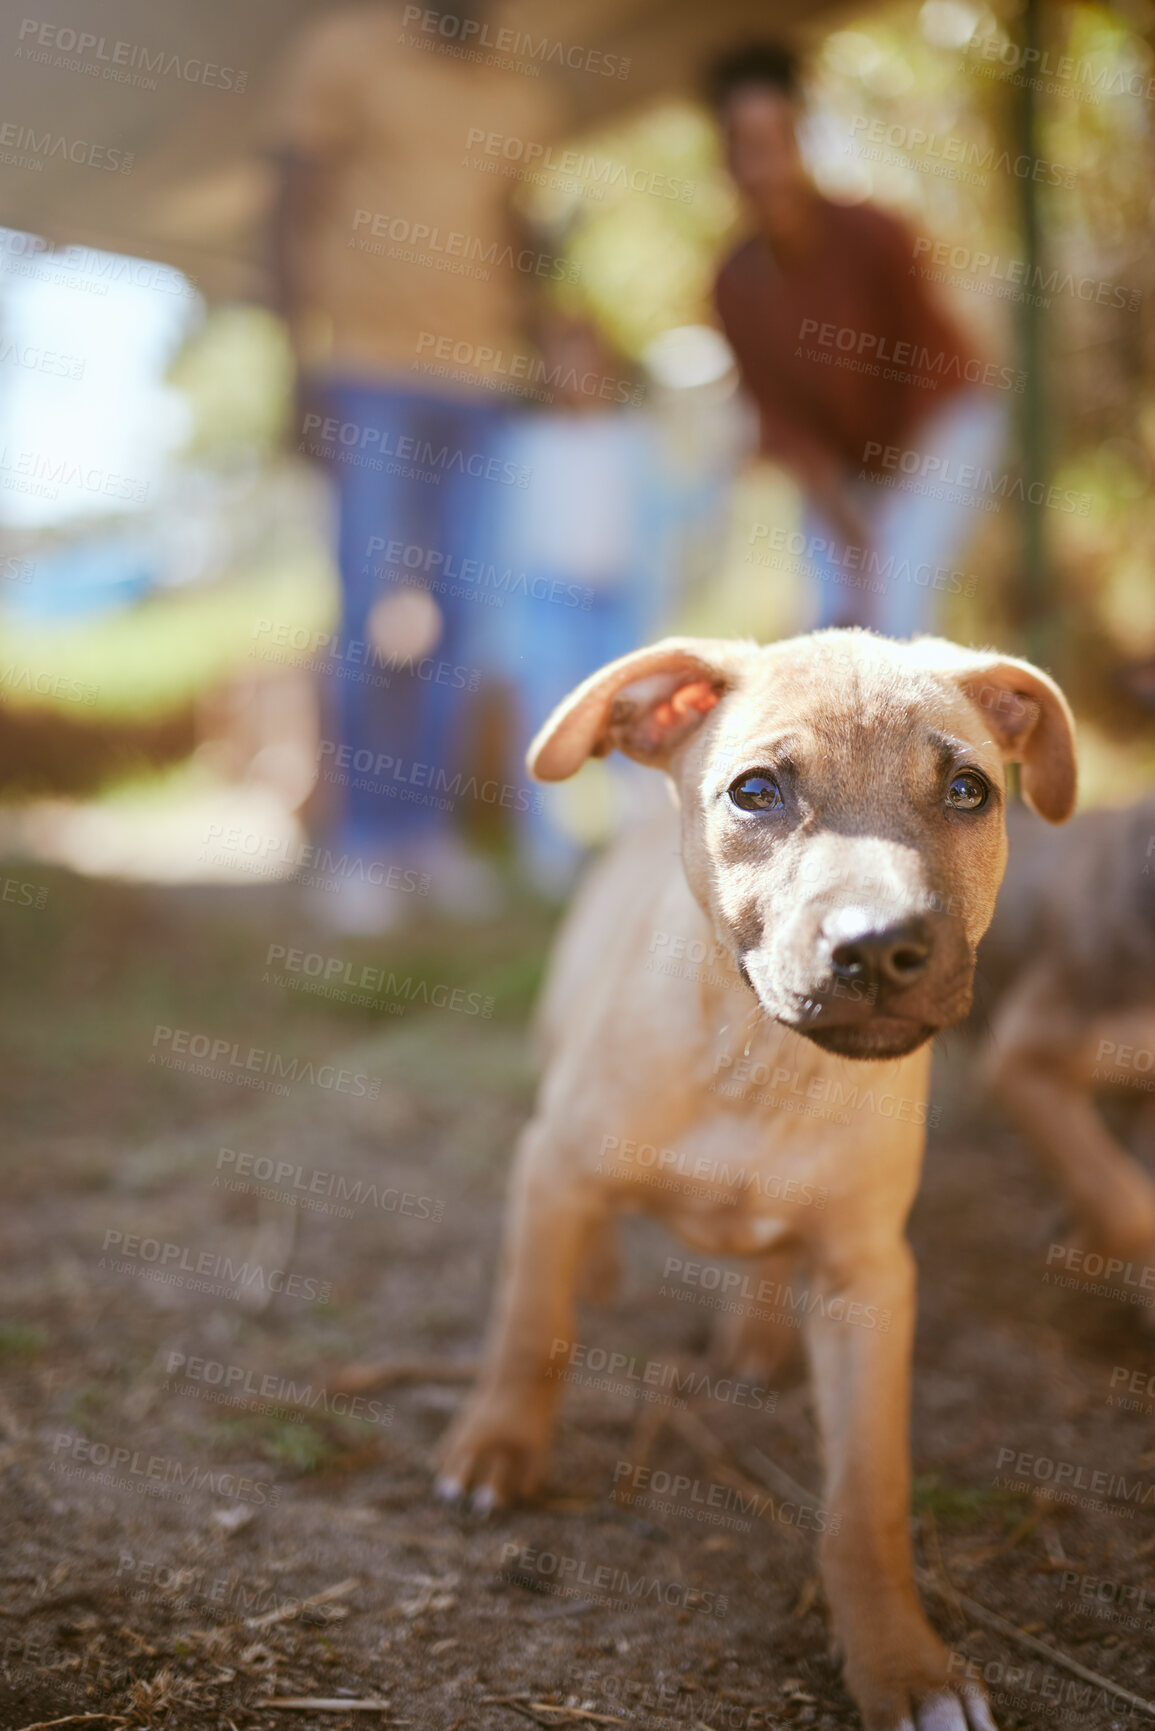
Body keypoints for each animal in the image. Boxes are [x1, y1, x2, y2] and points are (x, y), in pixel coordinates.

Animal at [438, 633, 1080, 1731]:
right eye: (755, 791)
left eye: (968, 790)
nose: (881, 946)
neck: (762, 1060)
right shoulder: (555, 1160)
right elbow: (531, 1324)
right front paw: (498, 1448)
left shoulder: (870, 1279)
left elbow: (869, 1496)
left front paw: (902, 1662)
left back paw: (756, 1329)